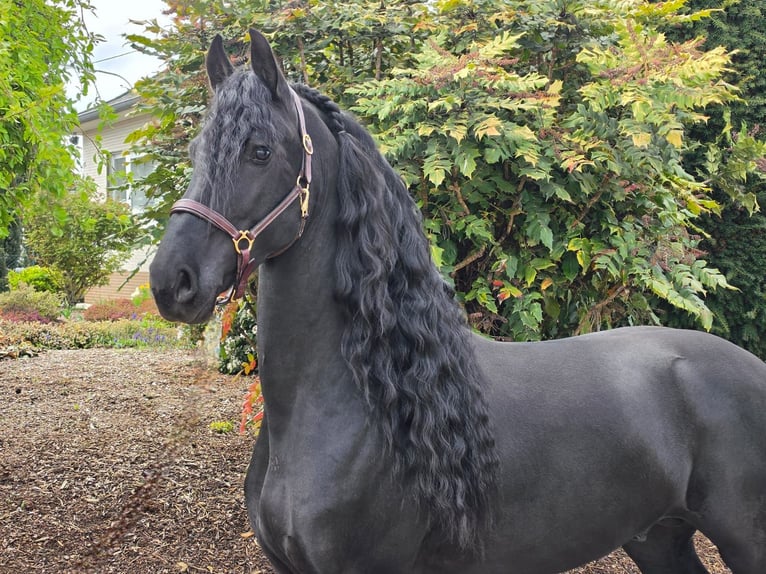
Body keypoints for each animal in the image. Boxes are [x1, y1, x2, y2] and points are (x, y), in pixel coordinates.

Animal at [150, 29, 766, 574]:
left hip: (743, 542)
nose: (170, 280)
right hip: (658, 537)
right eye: (197, 150)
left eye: (259, 151)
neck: (374, 395)